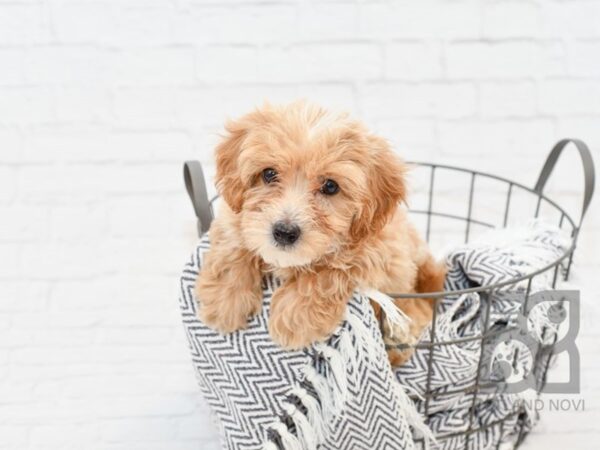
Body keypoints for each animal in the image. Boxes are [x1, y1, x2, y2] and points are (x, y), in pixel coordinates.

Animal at [197, 102, 446, 366]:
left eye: (330, 186)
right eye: (269, 174)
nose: (284, 232)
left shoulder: (378, 254)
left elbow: (331, 271)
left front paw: (296, 317)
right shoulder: (233, 217)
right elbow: (232, 241)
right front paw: (224, 300)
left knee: (418, 310)